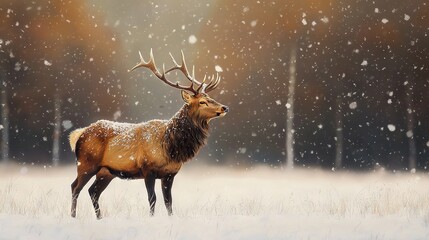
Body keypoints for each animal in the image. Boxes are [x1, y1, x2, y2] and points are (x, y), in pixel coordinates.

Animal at [68, 49, 227, 219]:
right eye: (202, 102)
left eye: (211, 97)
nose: (224, 107)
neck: (170, 147)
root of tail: (78, 134)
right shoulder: (147, 169)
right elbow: (152, 198)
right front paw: (151, 218)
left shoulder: (170, 174)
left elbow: (168, 201)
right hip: (86, 163)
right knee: (75, 187)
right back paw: (73, 216)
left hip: (106, 171)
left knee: (93, 191)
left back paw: (99, 218)